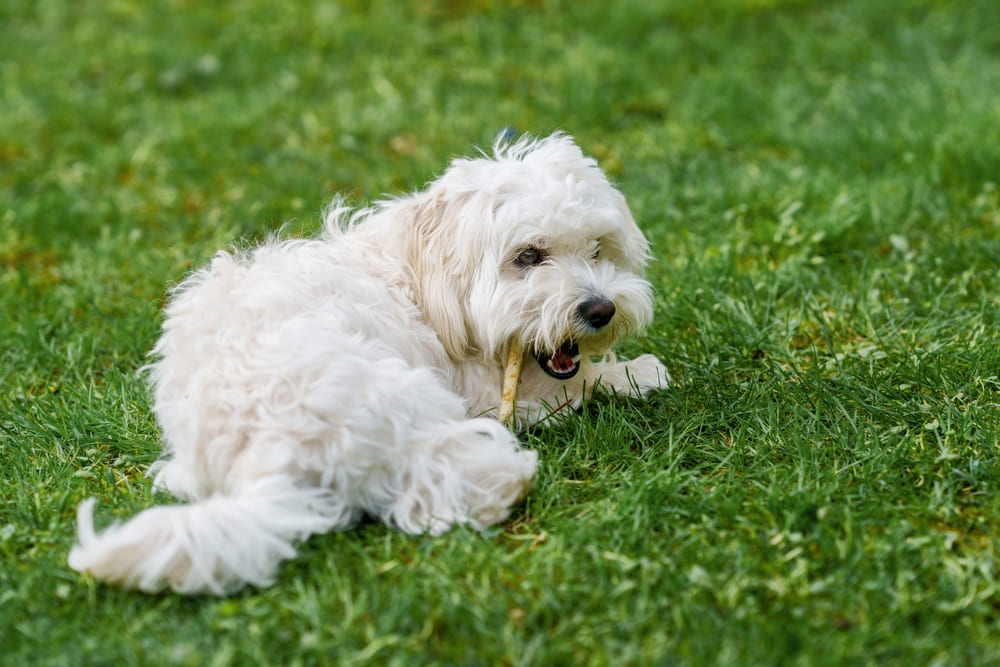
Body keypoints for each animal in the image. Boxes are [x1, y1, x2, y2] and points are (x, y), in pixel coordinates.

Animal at [66, 132, 668, 596]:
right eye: (528, 256)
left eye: (598, 248)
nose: (600, 310)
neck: (422, 280)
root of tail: (265, 446)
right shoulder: (489, 390)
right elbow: (573, 385)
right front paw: (633, 373)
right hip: (409, 399)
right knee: (440, 492)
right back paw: (508, 473)